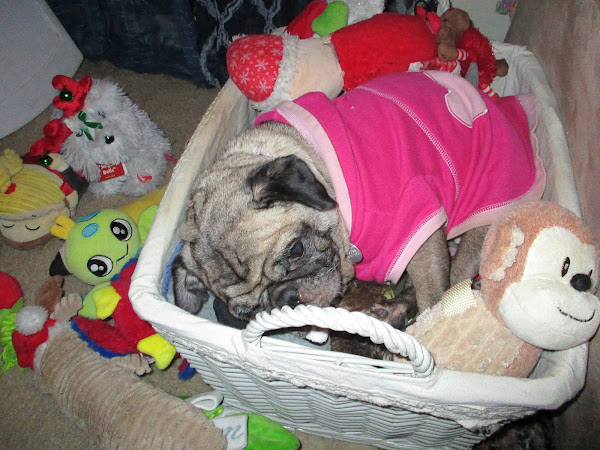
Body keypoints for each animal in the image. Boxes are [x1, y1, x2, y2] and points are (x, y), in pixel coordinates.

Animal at [172, 68, 544, 326]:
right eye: (248, 312)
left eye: (296, 249)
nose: (283, 298)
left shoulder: (420, 230)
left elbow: (432, 292)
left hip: (485, 217)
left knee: (458, 276)